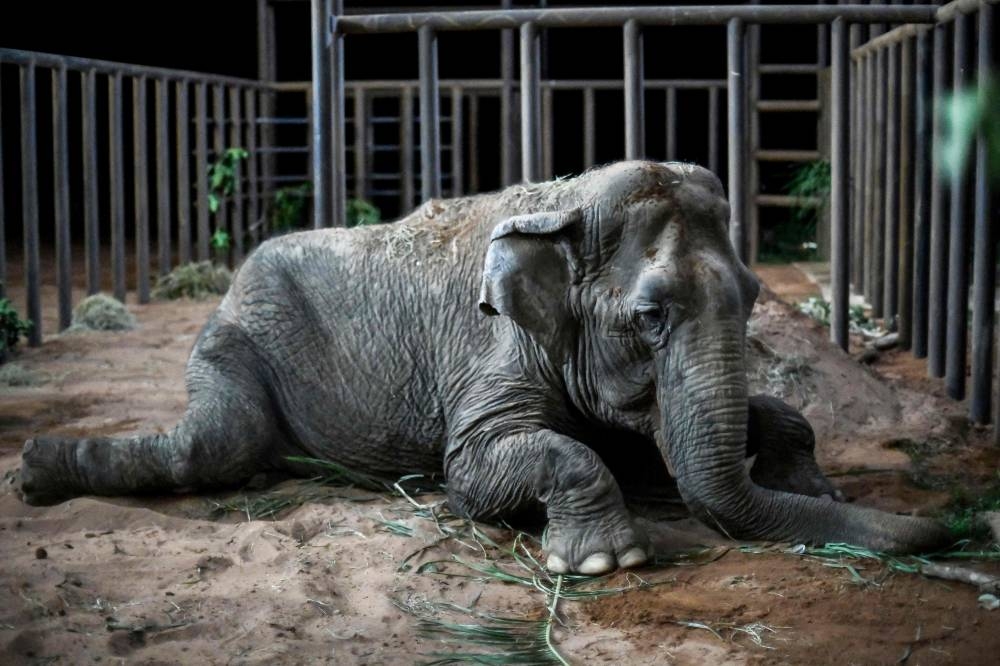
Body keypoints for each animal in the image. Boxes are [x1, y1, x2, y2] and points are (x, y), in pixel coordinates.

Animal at [17, 160, 952, 572]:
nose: (952, 531)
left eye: (756, 295)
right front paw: (602, 565)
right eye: (650, 317)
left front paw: (814, 485)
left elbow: (665, 438)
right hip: (236, 335)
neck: (567, 206)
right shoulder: (490, 351)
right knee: (216, 444)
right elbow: (477, 468)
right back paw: (31, 473)